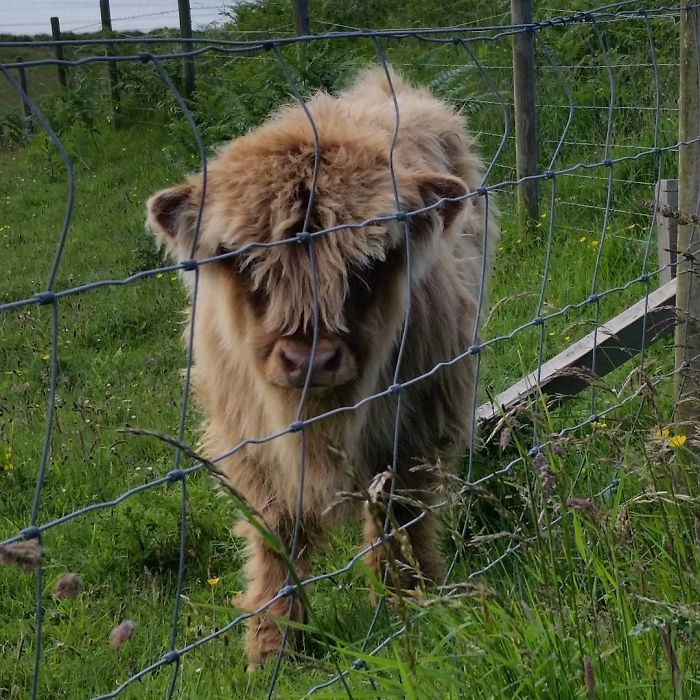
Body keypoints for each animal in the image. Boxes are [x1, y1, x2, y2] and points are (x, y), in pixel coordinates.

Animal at [146, 68, 497, 667]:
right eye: (245, 263)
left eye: (367, 265)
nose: (311, 357)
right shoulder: (253, 448)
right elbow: (278, 538)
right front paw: (273, 642)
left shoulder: (418, 427)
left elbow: (401, 512)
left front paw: (410, 592)